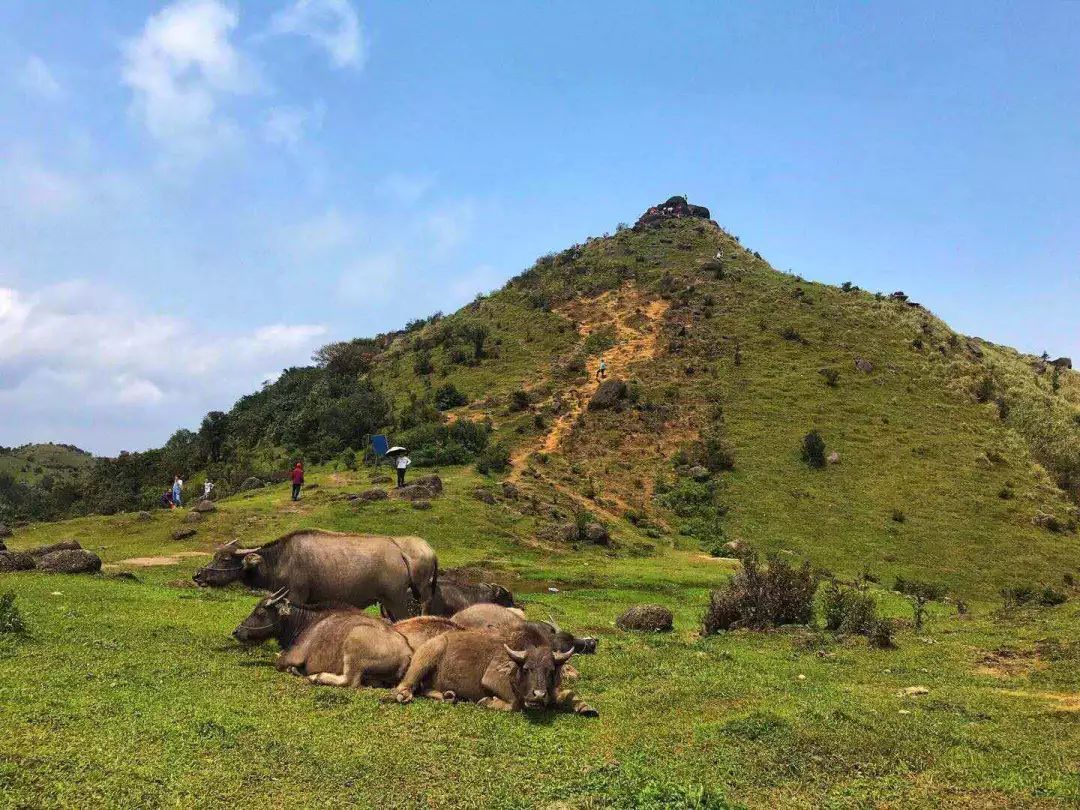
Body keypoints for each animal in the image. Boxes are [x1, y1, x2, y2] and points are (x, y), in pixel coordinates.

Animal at [194, 533, 434, 622]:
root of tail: (400, 552)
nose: (198, 575)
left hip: (397, 600)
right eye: (214, 556)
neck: (280, 560)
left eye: (225, 559)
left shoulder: (296, 596)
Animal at [393, 626, 600, 717]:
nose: (538, 695)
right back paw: (404, 695)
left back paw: (448, 695)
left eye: (550, 671)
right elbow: (515, 703)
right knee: (406, 685)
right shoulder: (492, 678)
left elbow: (567, 694)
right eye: (527, 669)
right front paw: (488, 701)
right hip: (425, 658)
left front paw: (585, 707)